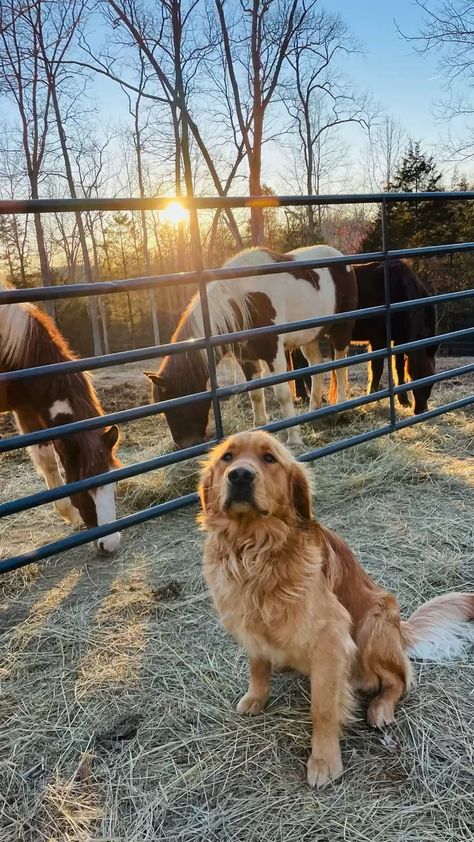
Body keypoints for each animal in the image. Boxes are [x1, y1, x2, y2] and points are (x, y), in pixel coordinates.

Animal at [144, 243, 356, 446]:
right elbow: (255, 394)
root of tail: (340, 257)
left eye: (176, 406)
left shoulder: (274, 354)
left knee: (340, 367)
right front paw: (259, 430)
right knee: (316, 366)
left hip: (340, 329)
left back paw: (342, 407)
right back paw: (314, 410)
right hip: (309, 338)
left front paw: (294, 439)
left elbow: (282, 394)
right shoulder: (246, 358)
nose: (185, 444)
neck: (246, 302)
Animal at [199, 430, 474, 784]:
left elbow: (323, 707)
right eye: (227, 458)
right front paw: (256, 697)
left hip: (374, 623)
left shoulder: (330, 637)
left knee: (399, 681)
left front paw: (324, 761)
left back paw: (380, 707)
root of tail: (401, 630)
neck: (255, 552)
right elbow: (257, 665)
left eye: (269, 458)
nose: (241, 476)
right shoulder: (250, 621)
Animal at [290, 258, 438, 412]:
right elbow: (377, 368)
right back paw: (305, 397)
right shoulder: (378, 340)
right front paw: (374, 398)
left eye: (431, 380)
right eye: (414, 377)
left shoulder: (400, 340)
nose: (421, 410)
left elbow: (399, 369)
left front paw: (403, 401)